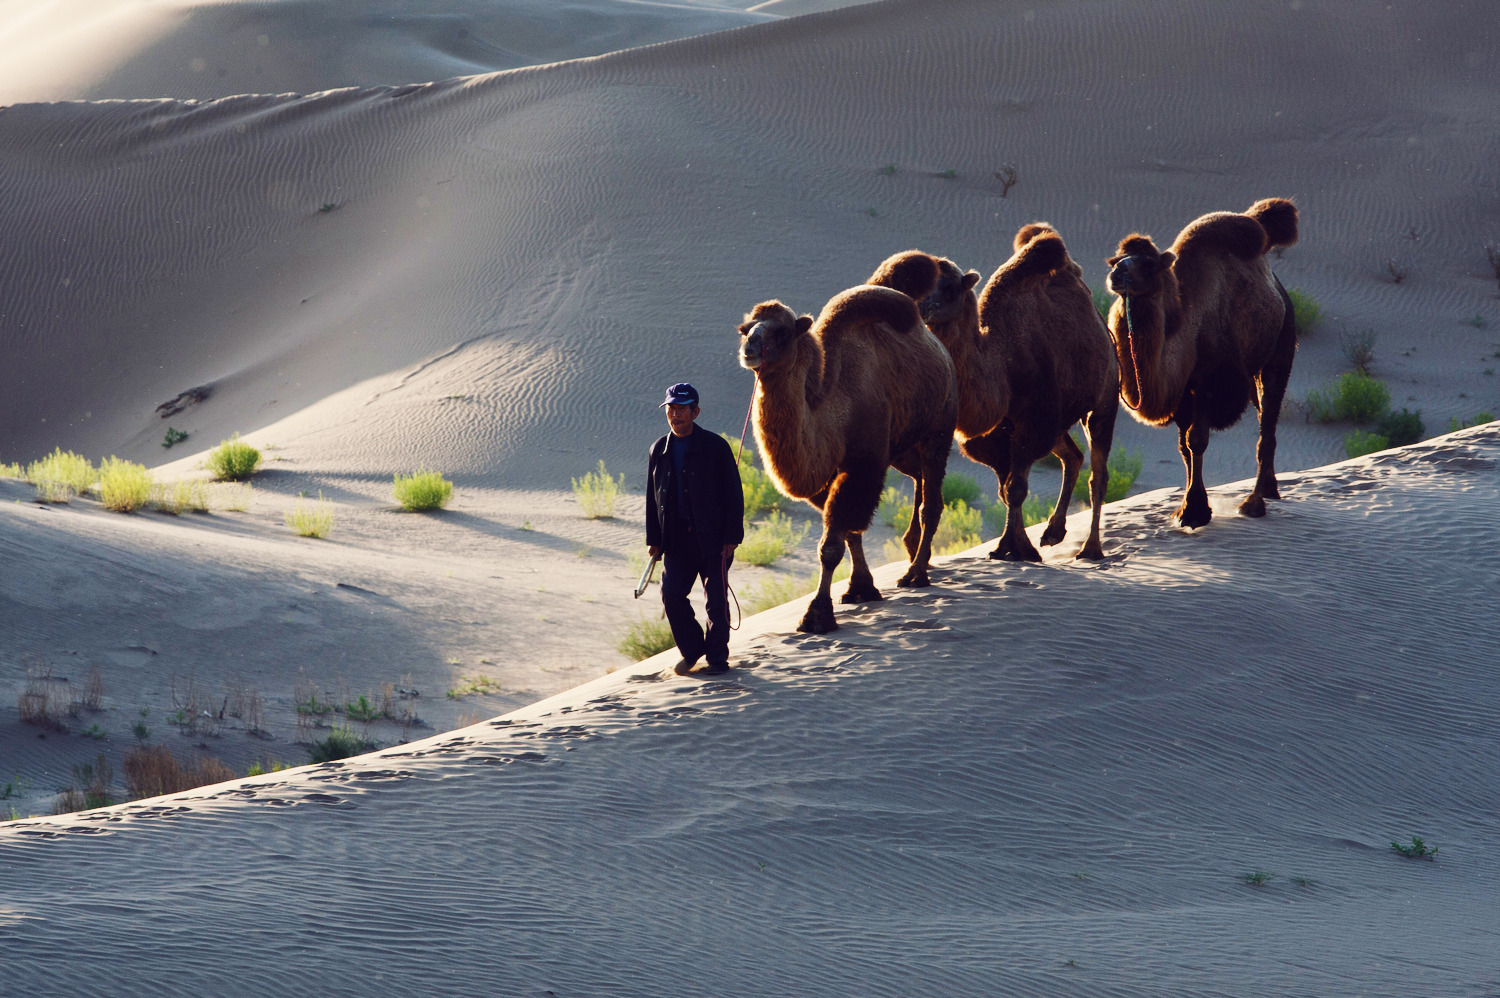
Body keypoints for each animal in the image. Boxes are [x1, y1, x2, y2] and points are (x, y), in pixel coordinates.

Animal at [735, 283, 954, 633]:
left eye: (782, 331)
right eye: (745, 329)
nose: (750, 346)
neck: (834, 406)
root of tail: (941, 350)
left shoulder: (864, 464)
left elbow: (831, 545)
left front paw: (817, 615)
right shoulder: (827, 477)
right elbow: (850, 533)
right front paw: (860, 588)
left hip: (940, 425)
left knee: (930, 502)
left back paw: (916, 574)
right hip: (904, 449)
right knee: (919, 480)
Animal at [864, 223, 1122, 561]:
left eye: (950, 288)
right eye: (916, 287)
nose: (922, 308)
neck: (1002, 369)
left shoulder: (1033, 421)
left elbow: (1016, 488)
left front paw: (1012, 548)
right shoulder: (993, 436)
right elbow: (1005, 489)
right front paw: (1015, 546)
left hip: (1104, 397)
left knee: (1098, 473)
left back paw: (1091, 549)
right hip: (1057, 423)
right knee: (1073, 457)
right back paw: (1053, 533)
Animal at [1104, 196, 1302, 528]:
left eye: (1148, 264)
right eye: (1117, 259)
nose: (1117, 274)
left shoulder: (1210, 383)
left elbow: (1197, 440)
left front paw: (1194, 511)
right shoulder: (1182, 393)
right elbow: (1184, 447)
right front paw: (1185, 508)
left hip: (1281, 350)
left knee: (1268, 425)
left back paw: (1254, 502)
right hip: (1251, 373)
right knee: (1264, 415)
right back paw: (1270, 490)